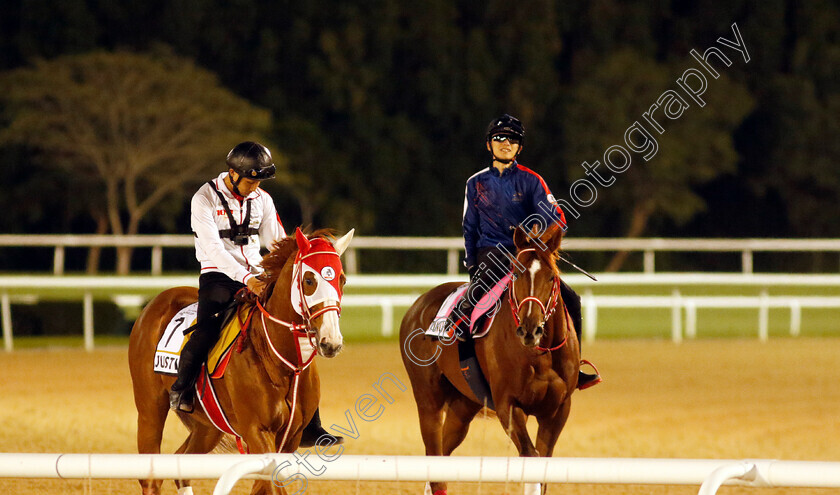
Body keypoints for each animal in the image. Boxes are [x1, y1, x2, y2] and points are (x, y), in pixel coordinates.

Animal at [130, 229, 352, 495]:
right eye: (309, 280)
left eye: (342, 279)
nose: (331, 342)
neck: (280, 362)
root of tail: (155, 304)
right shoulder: (257, 431)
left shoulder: (291, 436)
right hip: (150, 409)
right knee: (151, 478)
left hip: (208, 426)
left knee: (180, 465)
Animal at [400, 226, 576, 495]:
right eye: (516, 275)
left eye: (550, 277)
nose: (530, 329)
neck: (541, 354)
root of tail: (416, 306)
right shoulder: (508, 405)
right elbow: (531, 455)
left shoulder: (558, 410)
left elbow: (543, 467)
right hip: (428, 401)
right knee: (434, 456)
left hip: (463, 405)